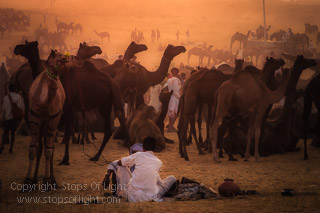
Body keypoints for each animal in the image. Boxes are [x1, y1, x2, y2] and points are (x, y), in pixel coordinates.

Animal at [21, 50, 82, 191]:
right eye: (63, 58)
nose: (79, 59)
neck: (44, 101)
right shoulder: (33, 116)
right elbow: (33, 149)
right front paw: (27, 181)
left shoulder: (55, 117)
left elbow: (49, 150)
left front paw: (47, 181)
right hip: (42, 122)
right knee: (40, 145)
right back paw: (34, 179)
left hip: (51, 122)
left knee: (50, 146)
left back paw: (53, 181)